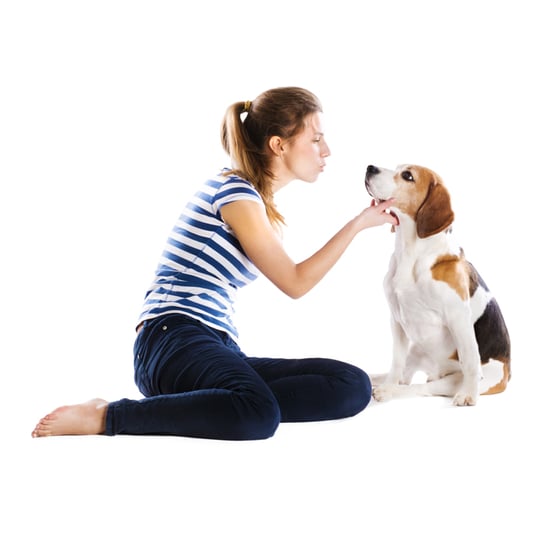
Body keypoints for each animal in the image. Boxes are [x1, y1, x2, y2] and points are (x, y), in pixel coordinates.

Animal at [366, 164, 512, 406]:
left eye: (407, 175)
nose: (370, 167)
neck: (411, 253)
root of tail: (508, 373)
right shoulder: (396, 320)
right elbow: (396, 363)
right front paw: (388, 382)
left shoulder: (458, 319)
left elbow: (470, 361)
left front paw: (468, 394)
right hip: (416, 350)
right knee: (404, 376)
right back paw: (380, 381)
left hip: (452, 380)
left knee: (423, 388)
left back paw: (392, 391)